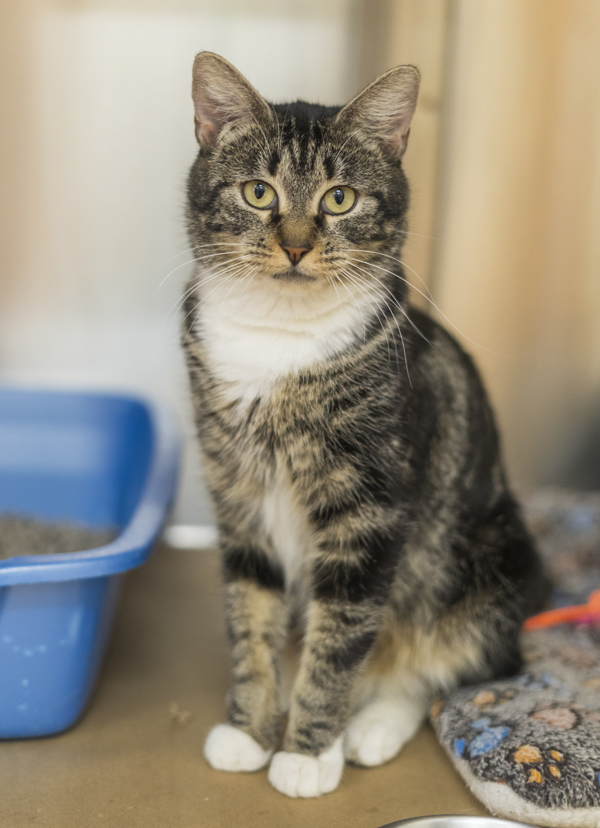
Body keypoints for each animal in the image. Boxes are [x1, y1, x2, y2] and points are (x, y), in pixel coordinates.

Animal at [182, 50, 544, 796]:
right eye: (258, 193)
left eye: (339, 199)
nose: (294, 247)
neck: (278, 338)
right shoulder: (236, 495)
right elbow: (250, 616)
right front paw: (249, 730)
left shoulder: (369, 511)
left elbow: (342, 632)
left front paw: (307, 752)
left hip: (488, 564)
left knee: (436, 663)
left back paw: (371, 726)